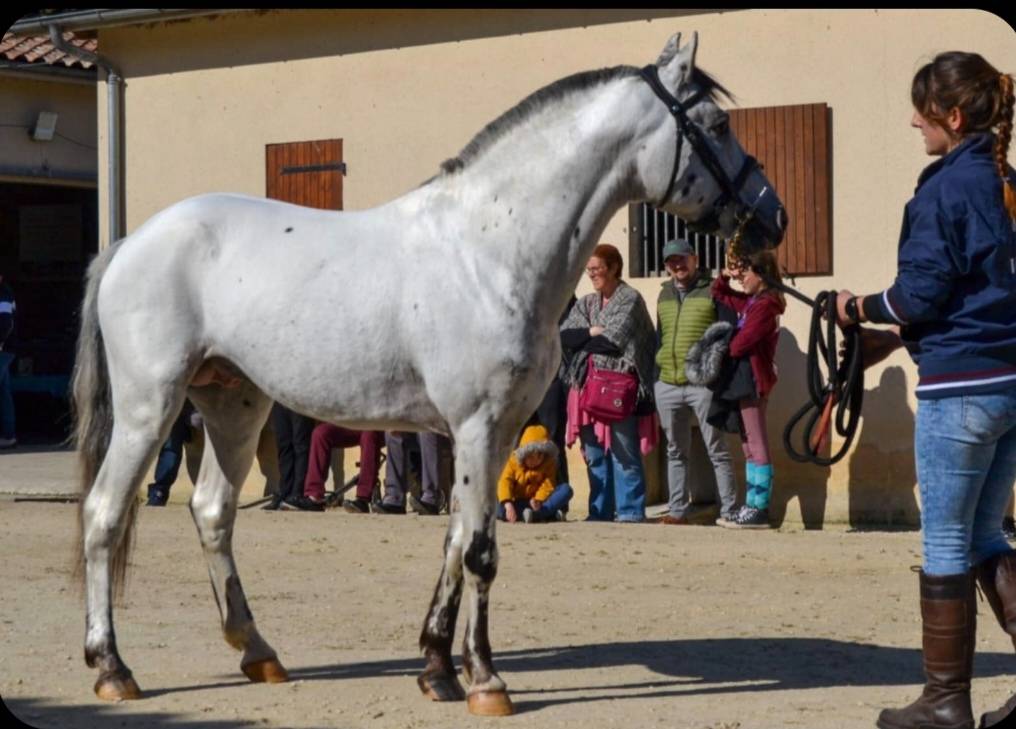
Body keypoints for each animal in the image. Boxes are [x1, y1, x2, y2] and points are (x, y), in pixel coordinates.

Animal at [71, 31, 786, 716]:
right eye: (718, 125)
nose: (774, 217)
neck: (489, 249)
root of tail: (131, 243)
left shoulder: (494, 434)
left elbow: (455, 540)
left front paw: (439, 668)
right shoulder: (475, 427)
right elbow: (478, 552)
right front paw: (487, 682)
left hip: (234, 405)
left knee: (213, 512)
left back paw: (258, 652)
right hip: (149, 408)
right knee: (104, 514)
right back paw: (112, 669)